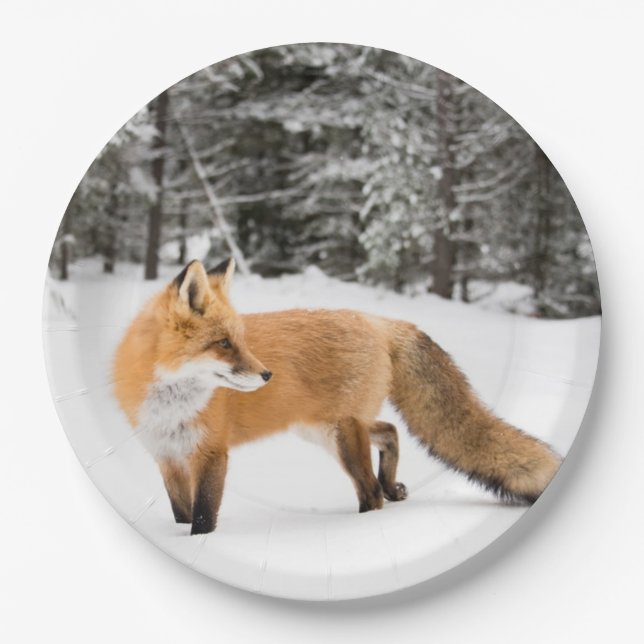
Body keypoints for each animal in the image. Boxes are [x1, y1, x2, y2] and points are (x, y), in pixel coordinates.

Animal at [113, 258, 562, 535]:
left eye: (240, 340)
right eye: (224, 343)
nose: (267, 374)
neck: (171, 406)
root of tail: (378, 321)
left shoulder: (211, 454)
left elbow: (203, 519)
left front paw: (200, 546)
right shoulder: (168, 458)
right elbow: (181, 515)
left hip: (341, 435)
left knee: (371, 491)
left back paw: (363, 523)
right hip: (324, 430)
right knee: (390, 431)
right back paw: (392, 486)